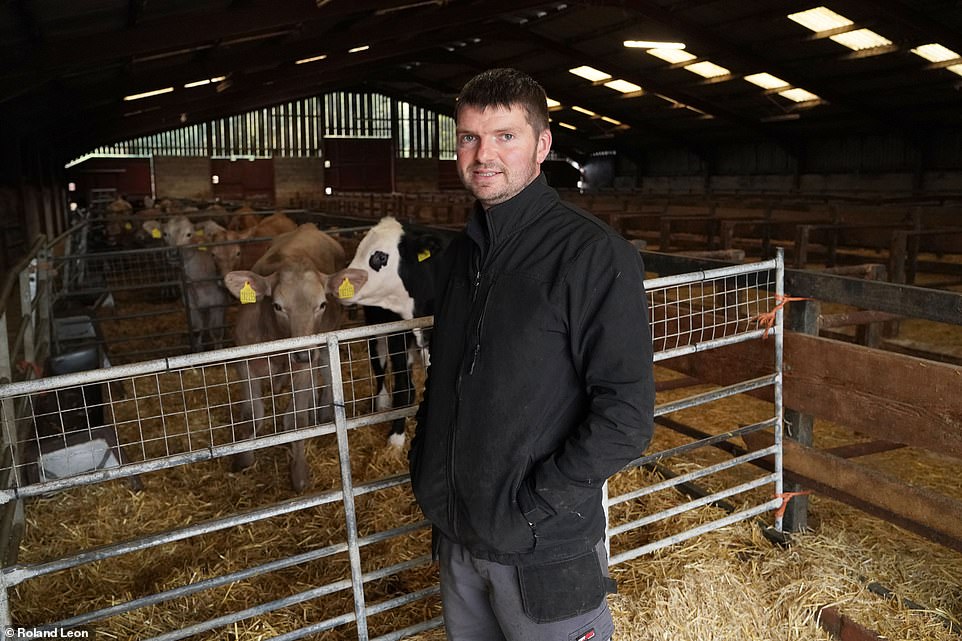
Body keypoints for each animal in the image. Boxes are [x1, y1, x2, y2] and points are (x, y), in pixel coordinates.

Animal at [324, 215, 440, 444]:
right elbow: (402, 386)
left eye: (379, 256)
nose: (334, 283)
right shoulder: (397, 335)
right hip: (375, 333)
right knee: (379, 369)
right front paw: (396, 437)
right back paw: (381, 403)